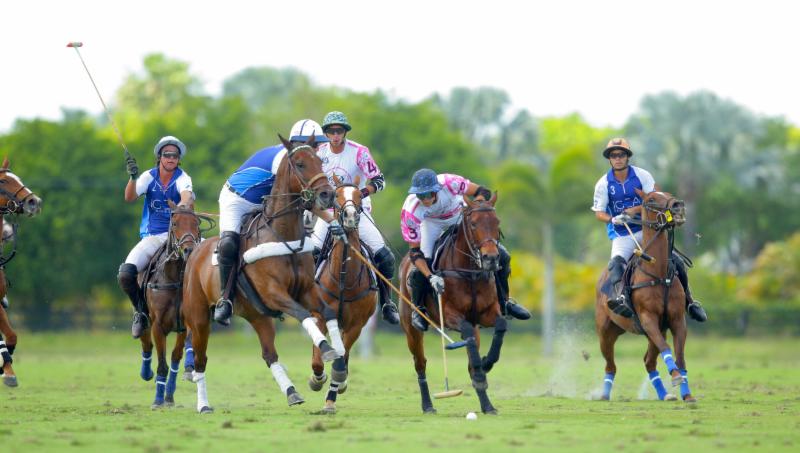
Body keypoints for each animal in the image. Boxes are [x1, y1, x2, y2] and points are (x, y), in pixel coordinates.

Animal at [138, 201, 210, 408]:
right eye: (175, 223)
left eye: (196, 223)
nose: (188, 250)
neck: (174, 276)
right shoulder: (158, 325)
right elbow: (162, 364)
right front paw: (157, 400)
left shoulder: (184, 325)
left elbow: (175, 356)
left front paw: (169, 394)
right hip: (144, 316)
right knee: (145, 342)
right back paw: (146, 373)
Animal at [181, 136, 341, 413]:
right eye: (300, 164)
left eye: (320, 161)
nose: (327, 194)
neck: (283, 234)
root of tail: (195, 251)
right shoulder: (273, 292)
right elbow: (303, 315)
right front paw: (327, 349)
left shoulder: (307, 289)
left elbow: (327, 312)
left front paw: (335, 363)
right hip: (199, 317)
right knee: (201, 360)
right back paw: (203, 405)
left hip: (258, 316)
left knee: (269, 354)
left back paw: (292, 392)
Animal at [307, 176, 378, 414]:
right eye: (336, 196)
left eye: (359, 197)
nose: (350, 216)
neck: (343, 278)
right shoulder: (320, 316)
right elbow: (319, 357)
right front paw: (317, 379)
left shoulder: (355, 325)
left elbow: (341, 359)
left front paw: (331, 398)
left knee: (344, 355)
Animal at [399, 193, 506, 414]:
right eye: (473, 224)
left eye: (497, 222)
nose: (491, 258)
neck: (470, 273)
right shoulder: (449, 315)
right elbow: (465, 331)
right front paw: (483, 368)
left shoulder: (487, 313)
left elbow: (501, 325)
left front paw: (487, 363)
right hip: (411, 330)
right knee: (420, 364)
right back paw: (428, 405)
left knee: (471, 355)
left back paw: (487, 404)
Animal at [594, 189, 696, 402]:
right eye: (651, 199)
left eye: (667, 192)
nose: (678, 206)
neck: (659, 273)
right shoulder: (648, 318)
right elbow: (667, 348)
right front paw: (676, 377)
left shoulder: (676, 320)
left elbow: (680, 355)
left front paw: (687, 393)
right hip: (605, 332)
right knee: (610, 365)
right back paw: (604, 395)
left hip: (655, 330)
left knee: (649, 362)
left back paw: (665, 395)